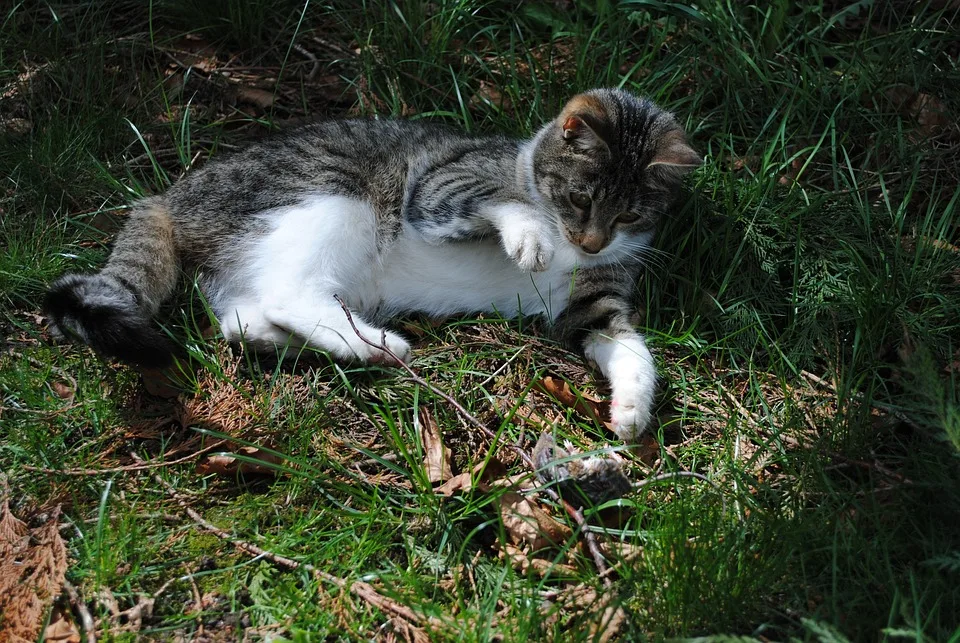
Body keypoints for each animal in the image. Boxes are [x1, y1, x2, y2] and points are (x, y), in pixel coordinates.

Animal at [45, 89, 700, 442]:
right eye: (581, 199)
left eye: (630, 214)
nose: (591, 244)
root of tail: (170, 195)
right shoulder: (438, 190)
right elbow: (500, 200)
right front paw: (528, 234)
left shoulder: (592, 300)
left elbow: (625, 343)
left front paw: (632, 409)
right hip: (333, 194)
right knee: (289, 291)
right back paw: (376, 345)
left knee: (241, 317)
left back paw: (313, 340)